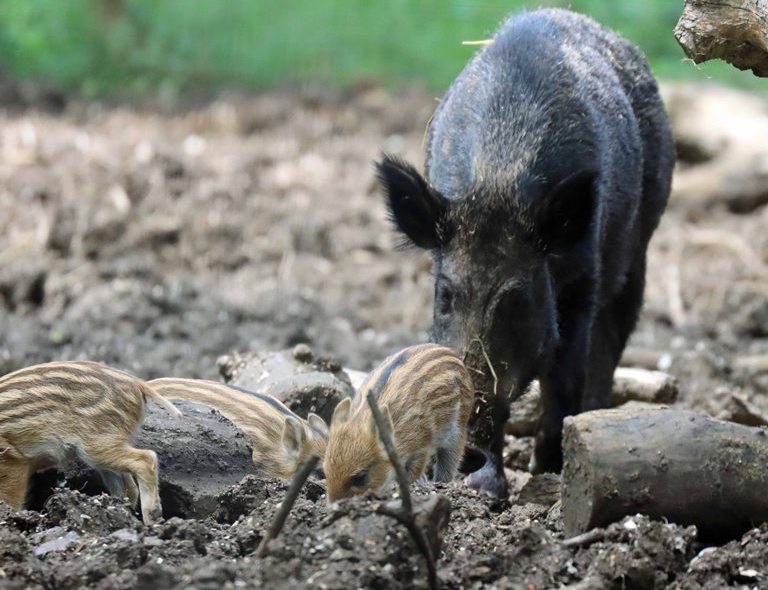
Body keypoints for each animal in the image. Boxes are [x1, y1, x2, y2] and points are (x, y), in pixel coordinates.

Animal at [324, 343, 474, 501]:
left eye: (360, 477)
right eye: (325, 472)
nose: (332, 504)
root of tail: (447, 350)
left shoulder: (421, 446)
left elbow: (415, 471)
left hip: (458, 428)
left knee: (451, 460)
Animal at [376, 8, 674, 495]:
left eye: (517, 300)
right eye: (445, 295)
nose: (465, 449)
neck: (496, 183)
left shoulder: (582, 278)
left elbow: (563, 376)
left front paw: (547, 468)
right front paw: (484, 488)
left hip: (641, 246)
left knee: (611, 341)